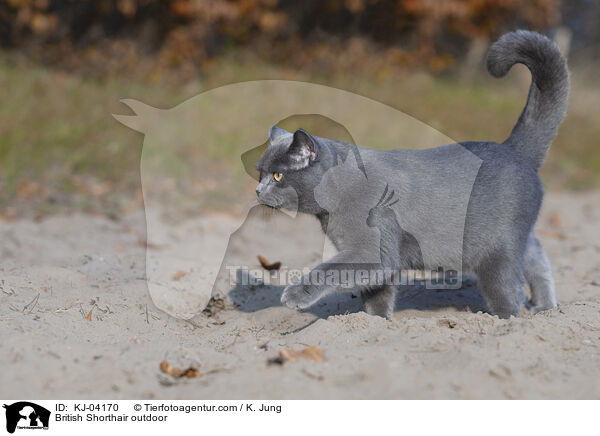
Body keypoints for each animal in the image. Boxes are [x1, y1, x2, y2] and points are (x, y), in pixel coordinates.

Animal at [255, 30, 568, 316]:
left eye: (278, 176)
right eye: (260, 173)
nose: (258, 190)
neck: (334, 200)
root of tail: (513, 149)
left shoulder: (372, 249)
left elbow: (331, 269)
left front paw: (295, 294)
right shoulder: (381, 260)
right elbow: (377, 292)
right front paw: (373, 321)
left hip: (496, 250)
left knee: (510, 290)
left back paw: (509, 320)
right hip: (516, 237)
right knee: (537, 257)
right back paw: (546, 308)